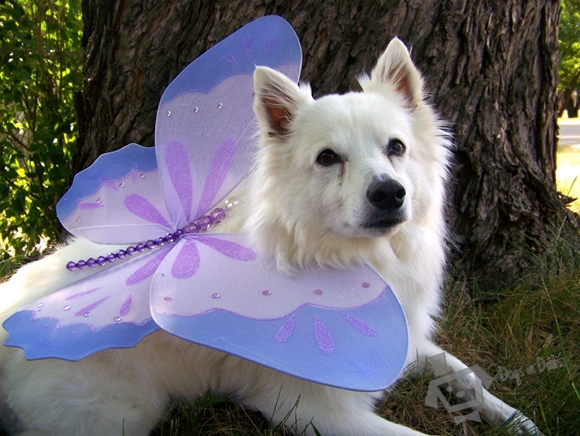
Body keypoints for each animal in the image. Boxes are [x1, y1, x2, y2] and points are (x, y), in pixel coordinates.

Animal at [0, 39, 540, 434]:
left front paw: (517, 419)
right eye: (327, 158)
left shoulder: (406, 341)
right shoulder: (319, 412)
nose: (390, 194)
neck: (347, 258)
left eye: (397, 147)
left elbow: (462, 370)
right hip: (125, 413)